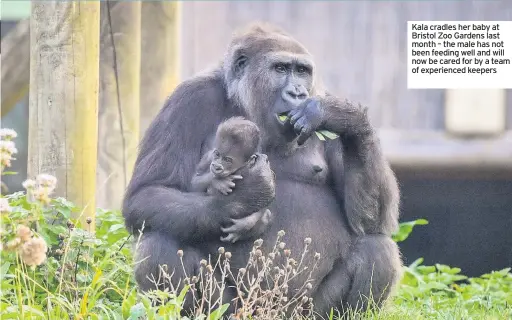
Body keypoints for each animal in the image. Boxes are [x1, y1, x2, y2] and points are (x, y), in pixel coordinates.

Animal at [122, 23, 402, 318]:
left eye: (302, 71)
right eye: (280, 68)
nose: (297, 93)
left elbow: (370, 220)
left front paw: (344, 116)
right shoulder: (187, 99)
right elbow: (148, 193)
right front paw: (242, 199)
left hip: (305, 313)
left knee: (376, 247)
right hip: (234, 311)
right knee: (160, 241)